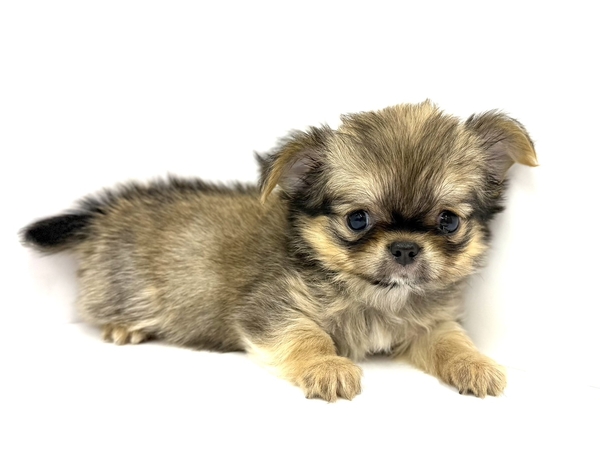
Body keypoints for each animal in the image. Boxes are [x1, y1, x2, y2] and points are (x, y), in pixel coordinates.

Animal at [22, 101, 537, 401]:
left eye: (448, 221)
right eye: (357, 220)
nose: (407, 248)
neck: (376, 294)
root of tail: (109, 212)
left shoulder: (429, 324)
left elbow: (453, 340)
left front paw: (476, 365)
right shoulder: (272, 309)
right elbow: (307, 336)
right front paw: (327, 367)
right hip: (127, 287)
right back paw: (123, 326)